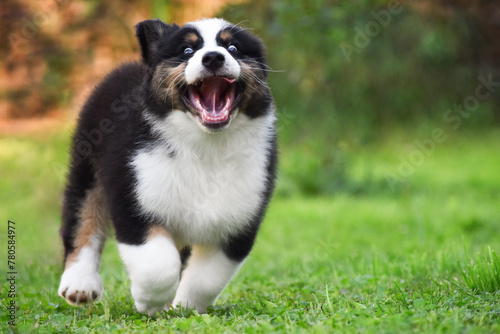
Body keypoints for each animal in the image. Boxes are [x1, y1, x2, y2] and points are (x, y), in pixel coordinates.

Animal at [59, 18, 280, 316]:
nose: (213, 57)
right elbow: (158, 265)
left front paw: (185, 307)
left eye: (233, 47)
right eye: (187, 50)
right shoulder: (133, 198)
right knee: (83, 217)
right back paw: (79, 285)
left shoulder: (239, 220)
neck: (205, 143)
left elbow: (207, 278)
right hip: (87, 167)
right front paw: (150, 303)